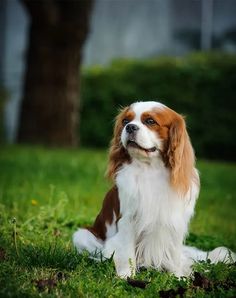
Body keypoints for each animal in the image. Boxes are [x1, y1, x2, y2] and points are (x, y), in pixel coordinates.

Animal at [73, 102, 235, 278]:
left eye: (150, 121)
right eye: (125, 121)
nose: (130, 127)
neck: (151, 168)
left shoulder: (175, 223)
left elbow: (174, 255)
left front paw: (178, 276)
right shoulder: (128, 220)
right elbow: (126, 252)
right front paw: (126, 276)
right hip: (81, 236)